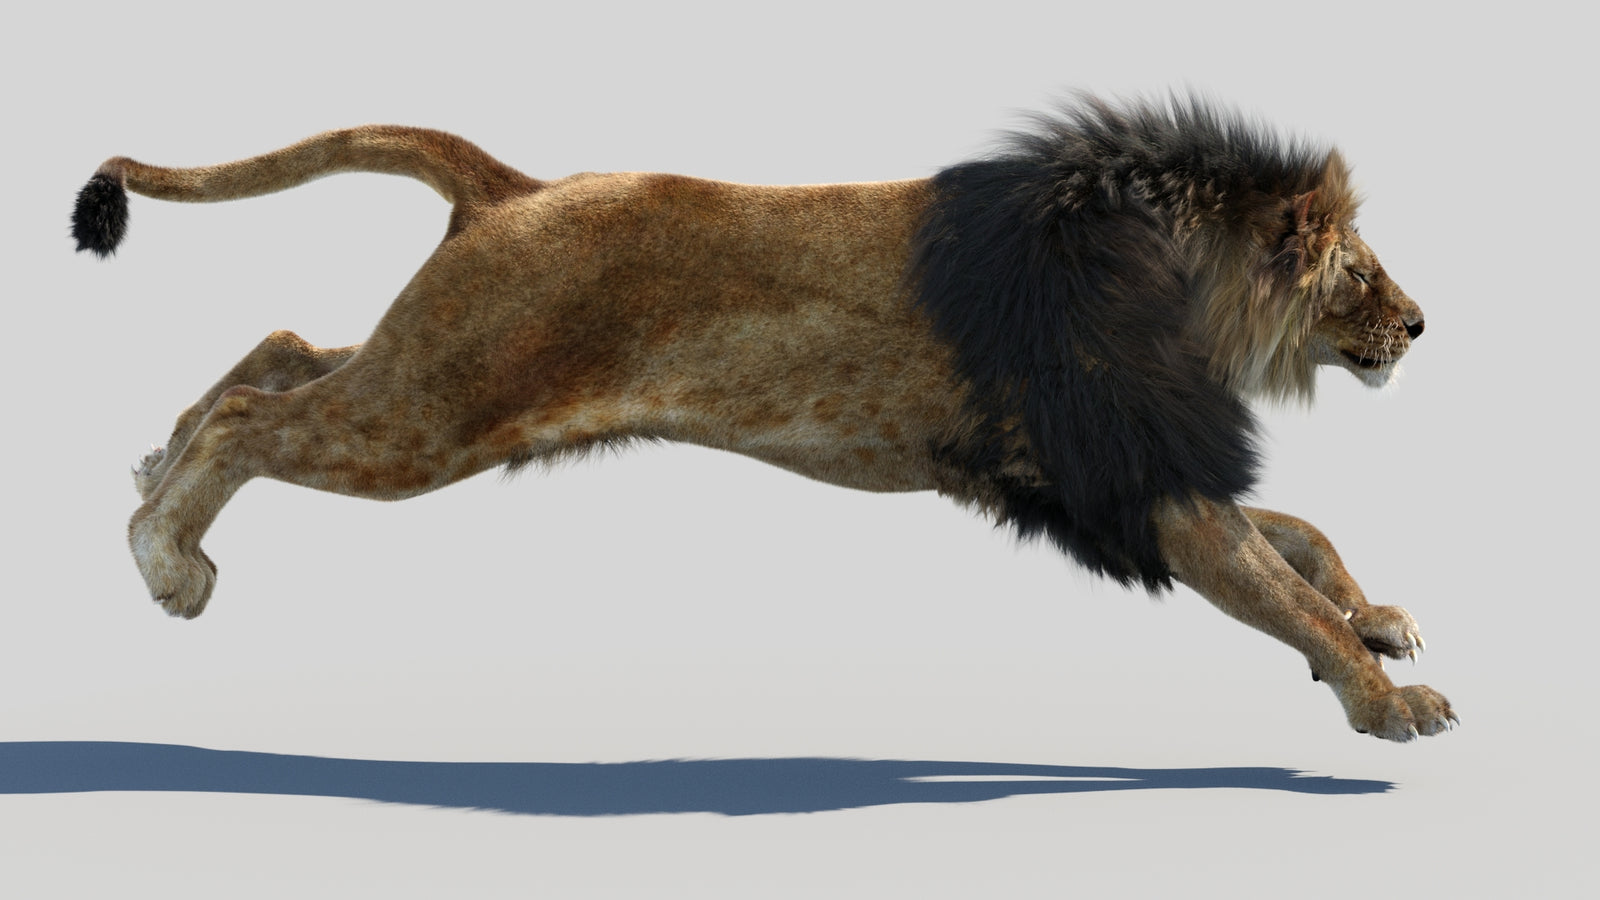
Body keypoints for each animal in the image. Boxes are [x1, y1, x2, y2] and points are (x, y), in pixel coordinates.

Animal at [71, 95, 1454, 741]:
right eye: (1359, 268)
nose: (1420, 324)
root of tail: (517, 187)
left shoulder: (1114, 475)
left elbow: (1303, 541)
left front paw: (1380, 624)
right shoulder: (1136, 481)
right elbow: (1279, 585)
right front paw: (1388, 702)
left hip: (431, 373)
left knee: (278, 353)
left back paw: (147, 465)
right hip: (432, 413)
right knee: (250, 420)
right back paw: (166, 556)